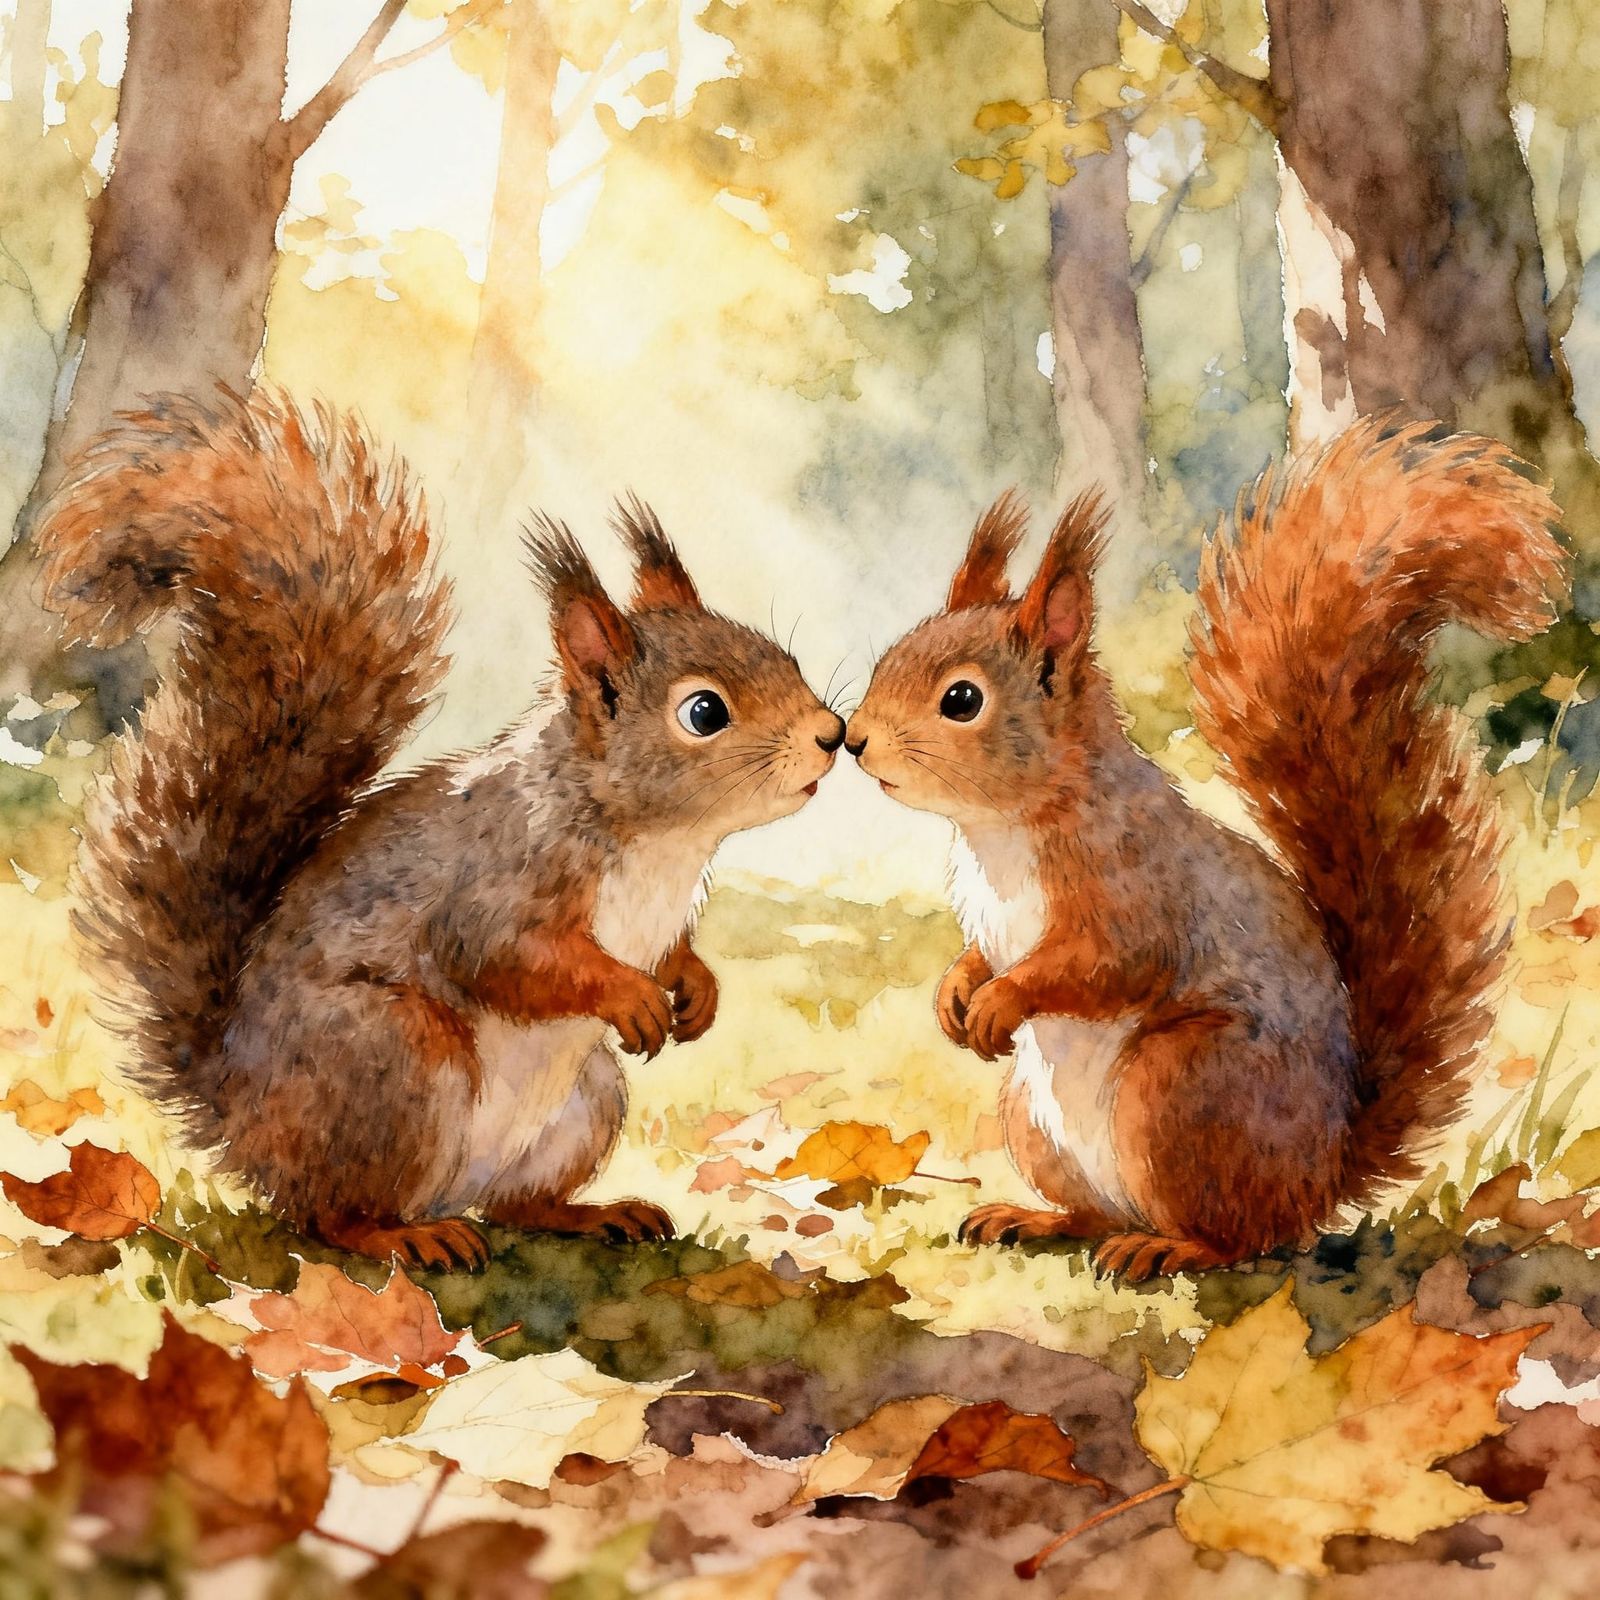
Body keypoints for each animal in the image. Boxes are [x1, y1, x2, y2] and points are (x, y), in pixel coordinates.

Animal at [36, 387, 844, 1271]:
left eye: (784, 658)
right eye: (704, 712)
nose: (832, 734)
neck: (659, 841)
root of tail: (241, 1114)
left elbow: (671, 952)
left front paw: (695, 987)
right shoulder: (500, 873)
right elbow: (505, 954)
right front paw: (629, 992)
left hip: (586, 1102)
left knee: (517, 1204)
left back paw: (592, 1214)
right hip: (394, 1061)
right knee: (328, 1215)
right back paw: (407, 1235)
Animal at [844, 417, 1569, 1281]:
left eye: (961, 700)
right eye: (889, 657)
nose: (853, 740)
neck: (1004, 828)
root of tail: (1322, 1177)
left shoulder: (1134, 887)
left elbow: (1106, 963)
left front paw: (1000, 1001)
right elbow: (980, 951)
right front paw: (956, 993)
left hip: (1180, 1089)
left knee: (1237, 1236)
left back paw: (1166, 1245)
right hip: (1035, 1117)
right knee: (1095, 1213)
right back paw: (1034, 1218)